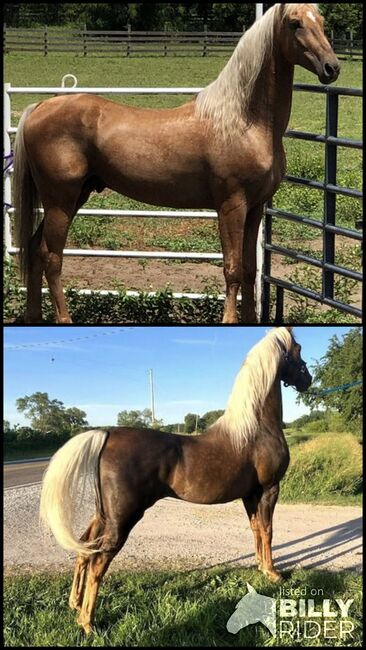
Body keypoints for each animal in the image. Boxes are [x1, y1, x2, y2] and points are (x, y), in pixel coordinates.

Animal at [14, 2, 340, 322]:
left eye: (322, 21)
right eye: (295, 23)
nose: (332, 67)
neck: (244, 121)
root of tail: (40, 106)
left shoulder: (255, 207)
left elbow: (248, 271)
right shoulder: (231, 206)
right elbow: (232, 269)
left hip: (73, 197)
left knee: (34, 250)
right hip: (60, 201)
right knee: (51, 258)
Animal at [42, 326, 312, 632]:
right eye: (298, 349)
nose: (308, 380)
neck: (256, 429)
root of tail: (107, 433)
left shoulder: (250, 494)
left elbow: (256, 529)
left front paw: (261, 567)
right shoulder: (269, 489)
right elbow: (268, 530)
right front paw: (274, 574)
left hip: (103, 515)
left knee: (85, 548)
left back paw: (74, 604)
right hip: (123, 518)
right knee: (99, 560)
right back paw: (88, 623)